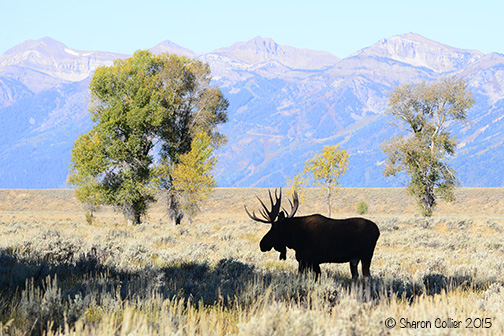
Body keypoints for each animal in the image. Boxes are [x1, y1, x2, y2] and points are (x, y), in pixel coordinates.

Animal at [246, 189, 380, 278]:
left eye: (274, 228)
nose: (262, 244)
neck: (295, 239)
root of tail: (378, 230)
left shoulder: (305, 260)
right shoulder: (314, 262)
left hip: (366, 255)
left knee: (367, 276)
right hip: (355, 259)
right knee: (356, 276)